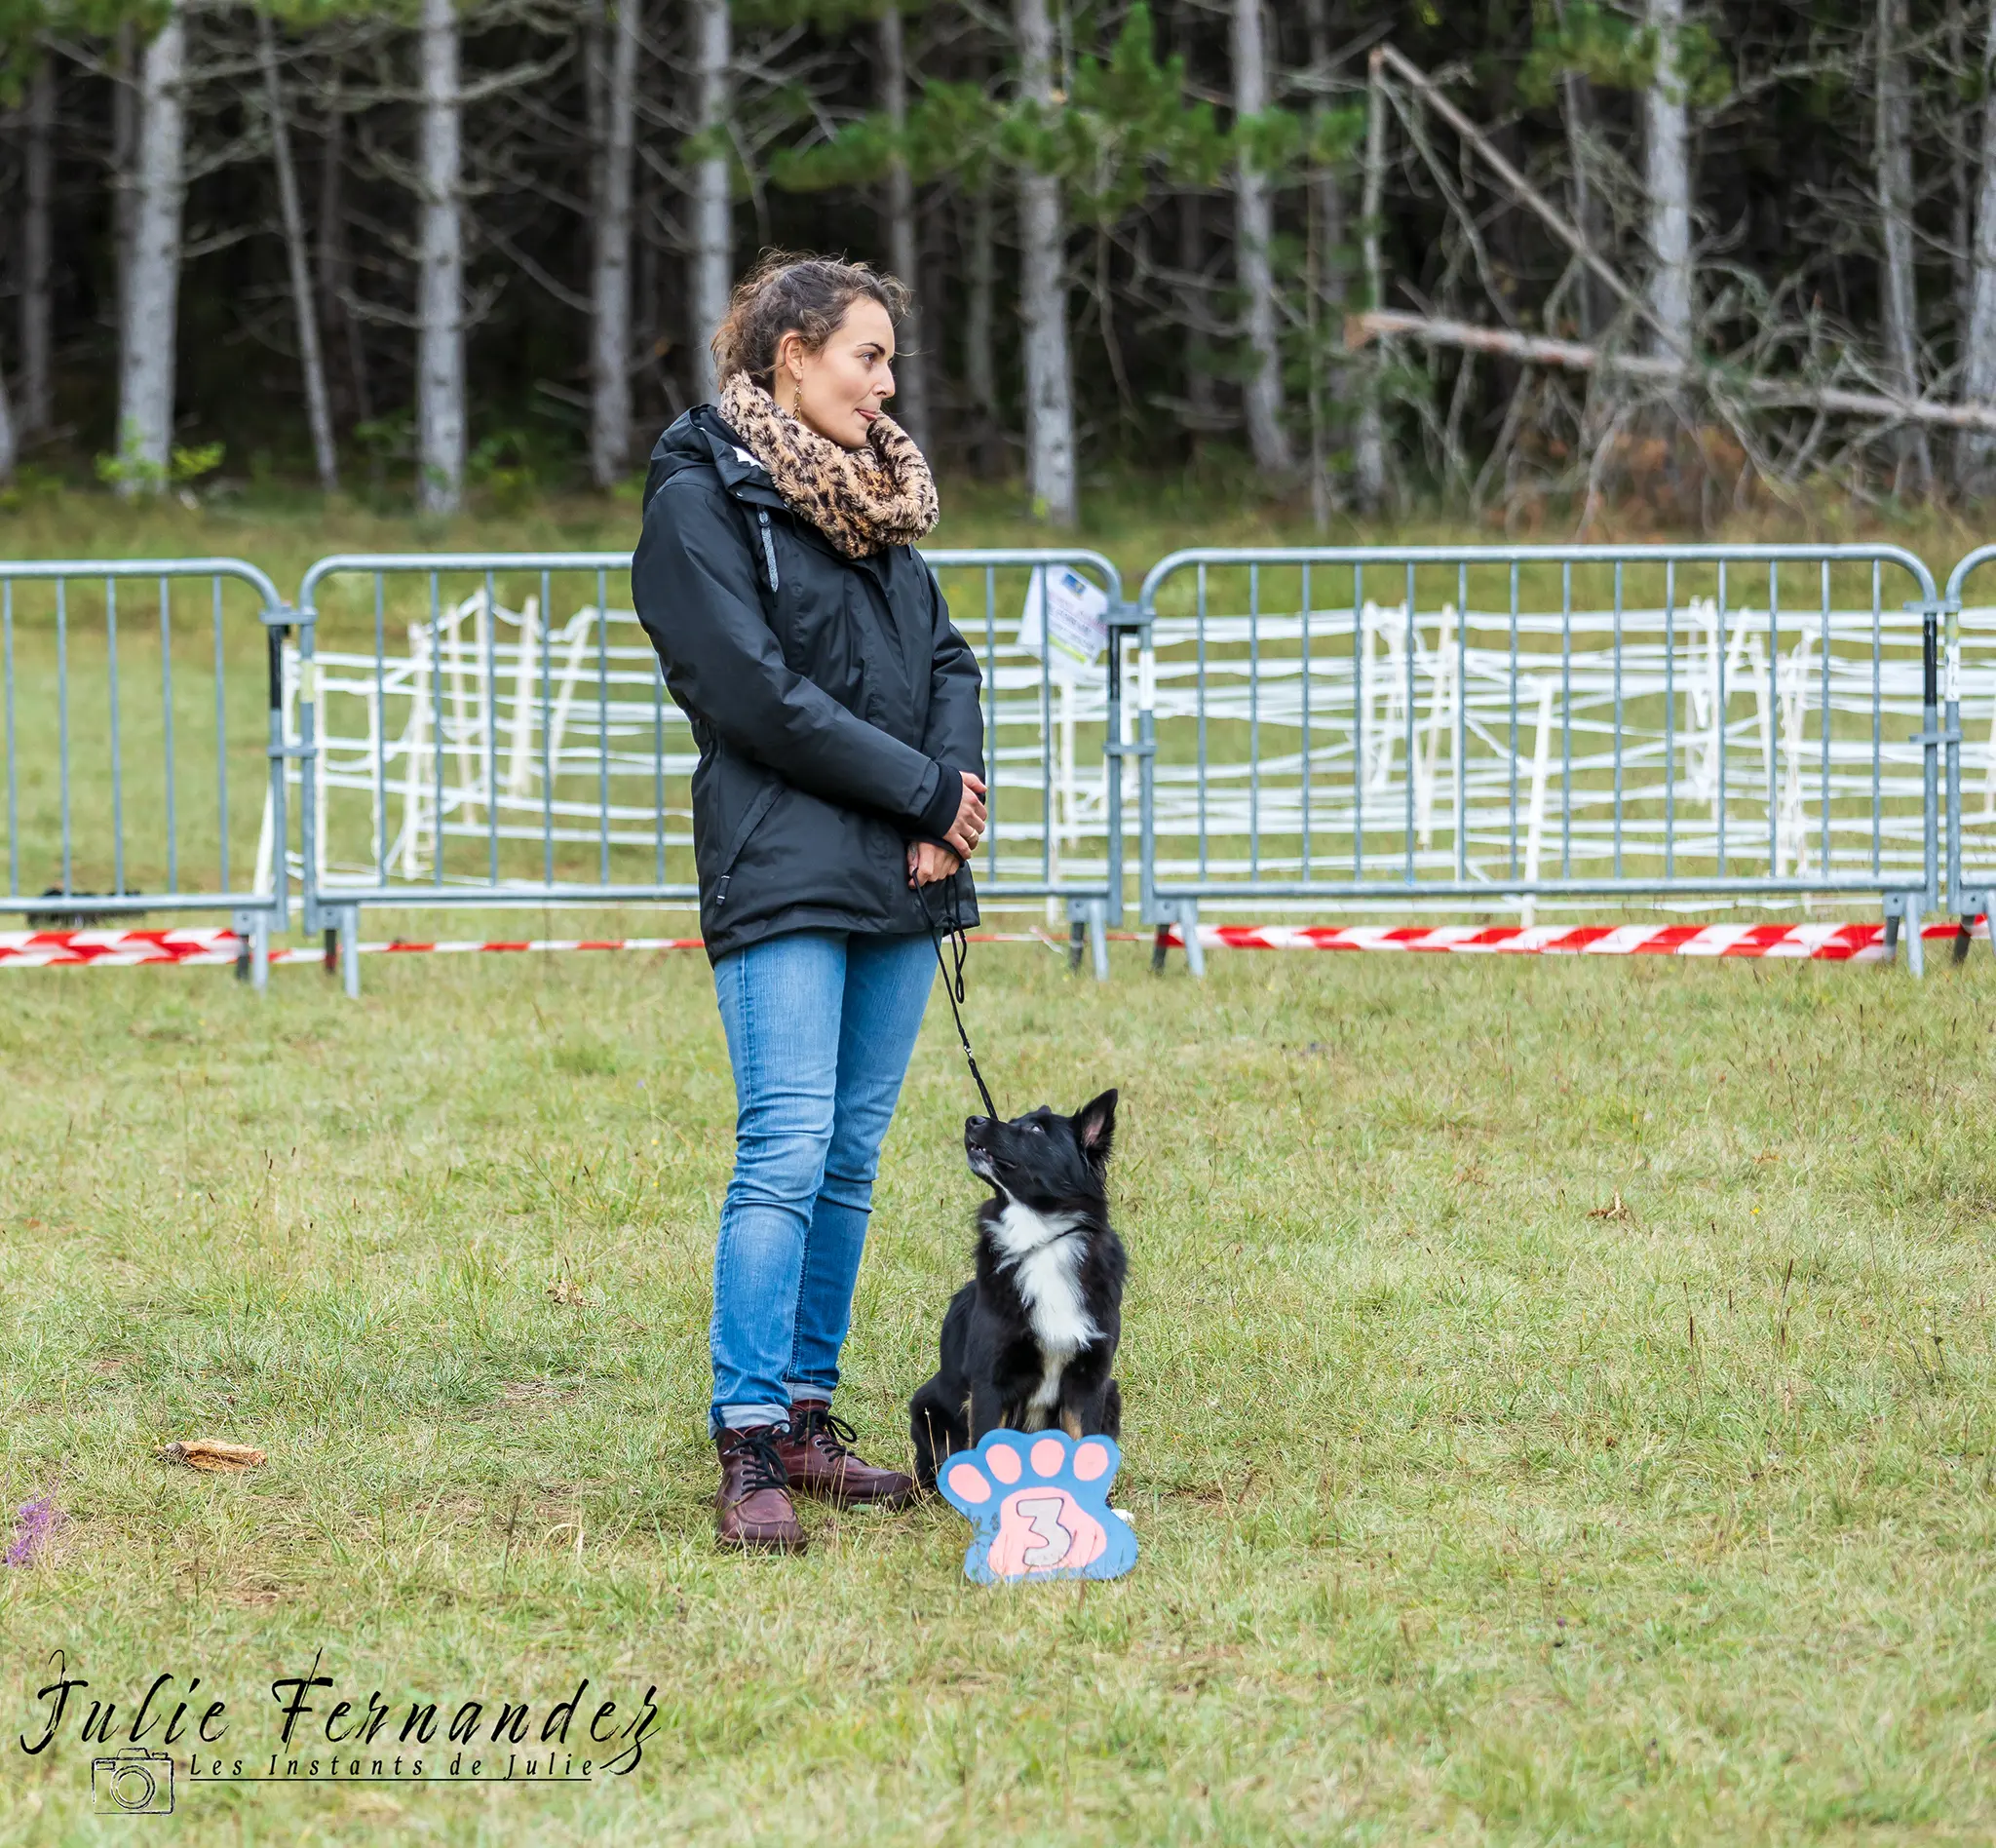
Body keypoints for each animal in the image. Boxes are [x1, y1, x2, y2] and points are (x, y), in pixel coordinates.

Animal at [913, 1094, 1133, 1500]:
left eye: (1033, 1129)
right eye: (1013, 1119)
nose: (972, 1120)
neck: (1041, 1239)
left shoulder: (1088, 1384)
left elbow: (1085, 1453)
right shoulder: (990, 1383)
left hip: (1112, 1393)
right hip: (927, 1406)